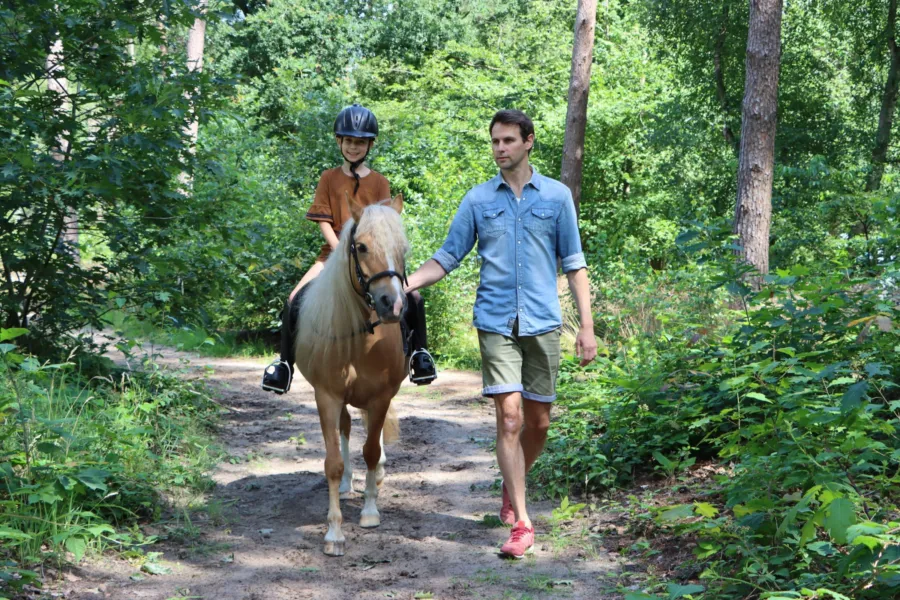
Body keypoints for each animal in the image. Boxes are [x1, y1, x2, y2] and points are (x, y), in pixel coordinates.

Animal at [294, 195, 410, 556]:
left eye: (403, 248)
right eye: (360, 246)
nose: (392, 305)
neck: (360, 335)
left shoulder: (381, 396)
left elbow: (371, 450)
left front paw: (370, 512)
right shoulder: (327, 396)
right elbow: (333, 462)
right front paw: (334, 533)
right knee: (345, 429)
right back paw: (347, 486)